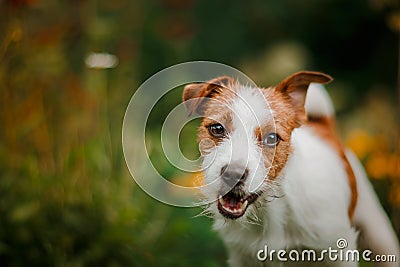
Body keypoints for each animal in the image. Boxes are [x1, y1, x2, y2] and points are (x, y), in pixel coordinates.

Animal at [183, 71, 398, 267]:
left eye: (271, 138)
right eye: (217, 129)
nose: (233, 175)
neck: (271, 210)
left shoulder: (339, 252)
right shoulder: (241, 257)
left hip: (378, 231)